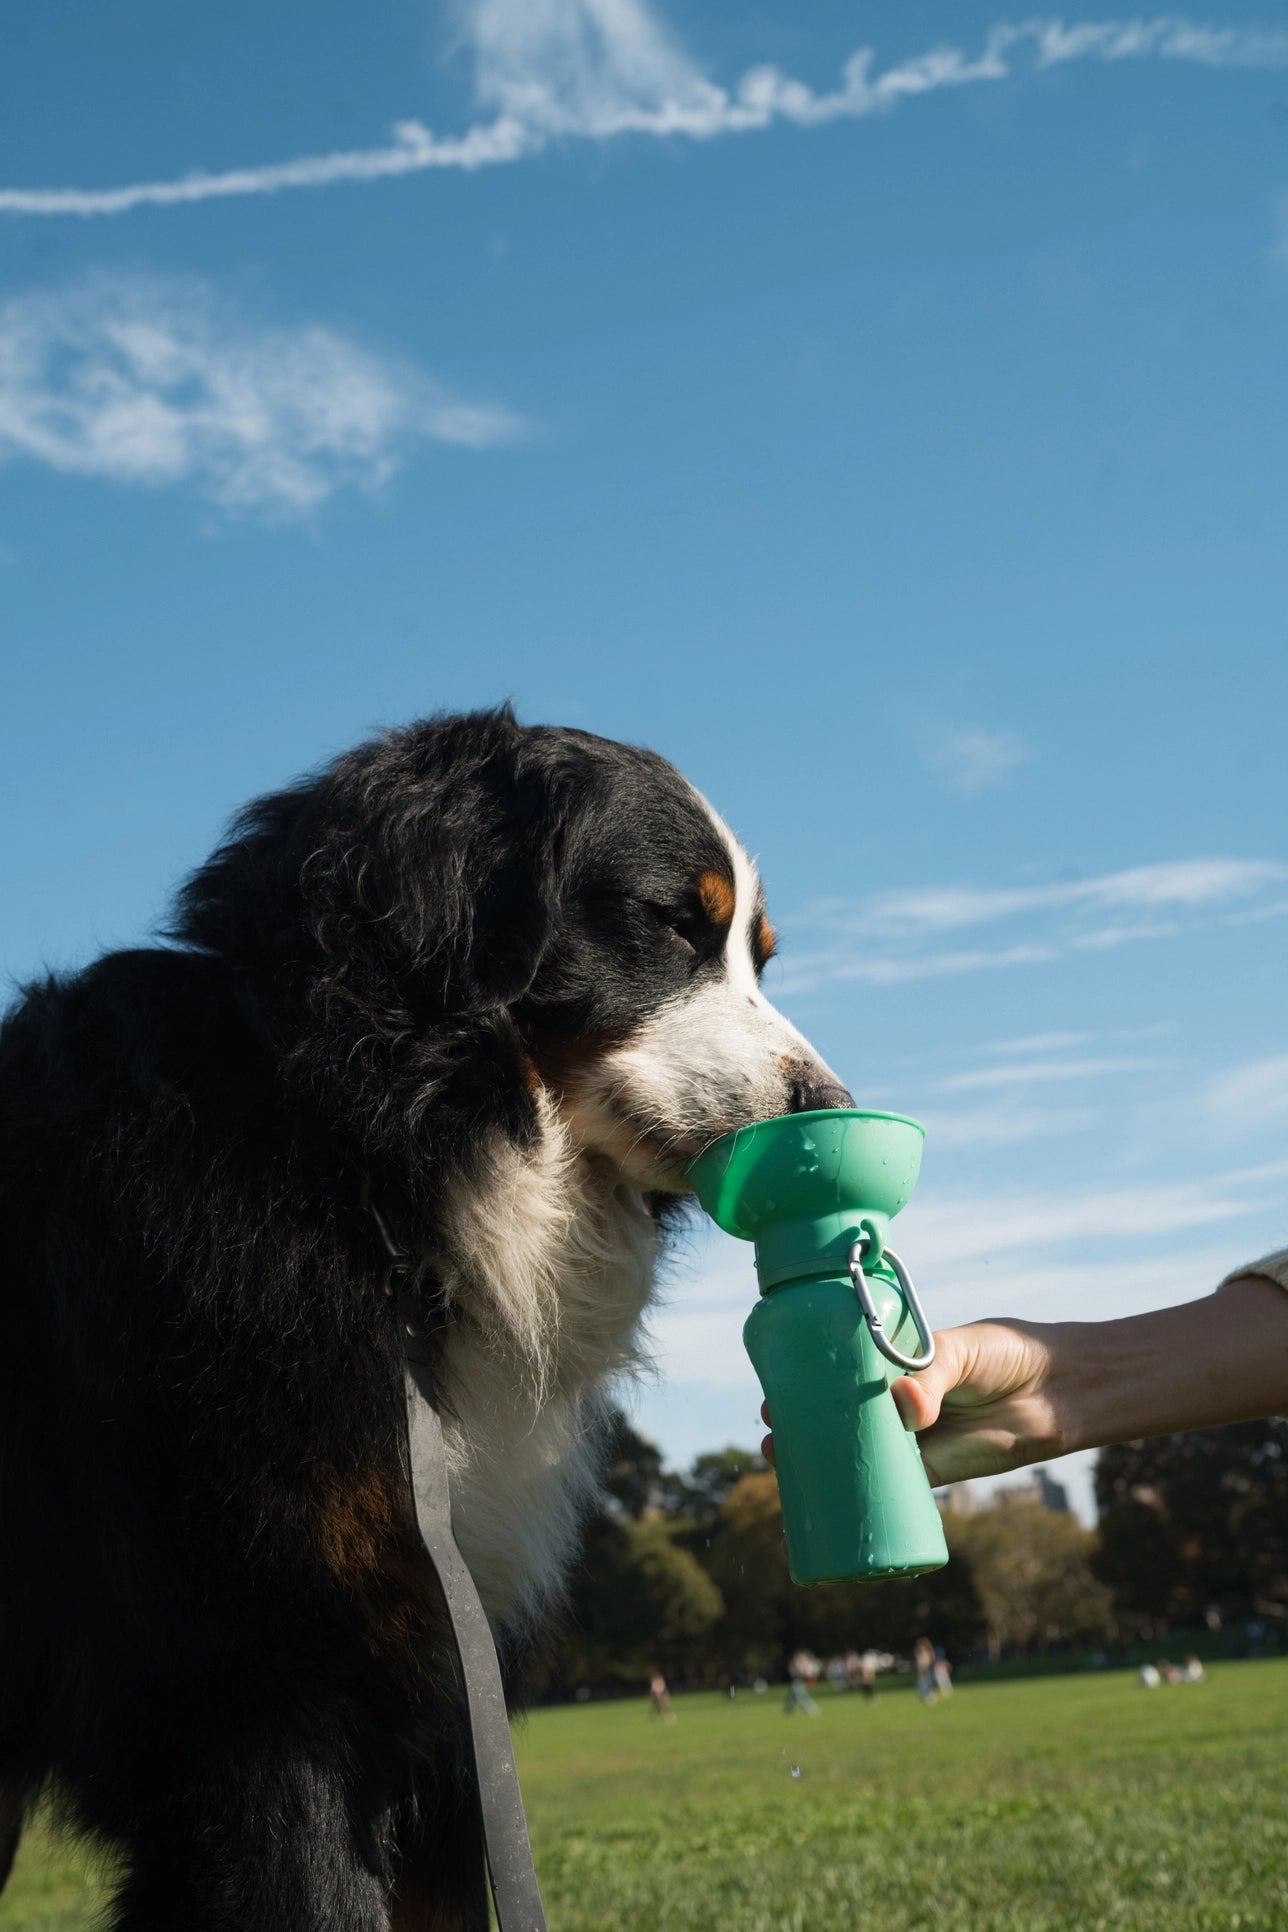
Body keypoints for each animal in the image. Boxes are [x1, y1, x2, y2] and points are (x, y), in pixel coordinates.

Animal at [0, 710, 857, 1932]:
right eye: (670, 922)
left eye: (760, 954)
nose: (833, 1107)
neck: (364, 1180)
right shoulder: (268, 1687)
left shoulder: (446, 1689)